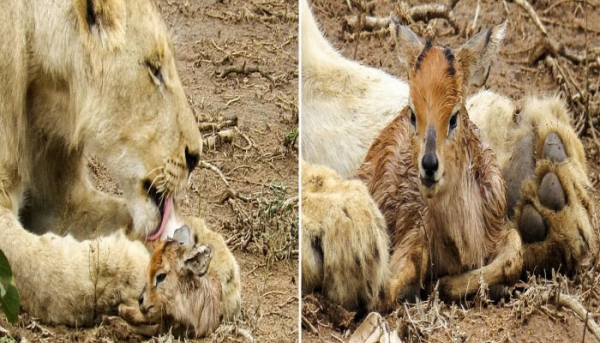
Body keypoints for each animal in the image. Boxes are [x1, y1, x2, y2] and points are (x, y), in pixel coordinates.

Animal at [358, 22, 524, 304]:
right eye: (414, 114)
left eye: (454, 116)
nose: (429, 165)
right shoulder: (413, 232)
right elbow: (386, 290)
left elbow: (515, 254)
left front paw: (449, 285)